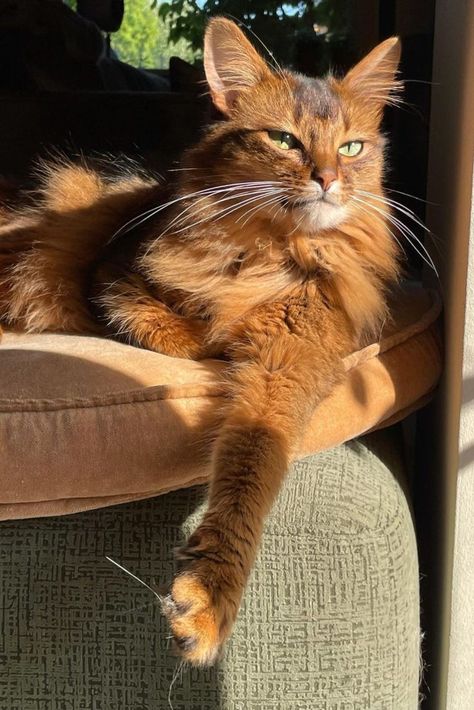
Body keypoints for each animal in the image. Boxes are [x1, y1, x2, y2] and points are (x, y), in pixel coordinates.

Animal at [0, 19, 400, 672]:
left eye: (351, 148)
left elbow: (254, 459)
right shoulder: (112, 279)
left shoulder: (293, 360)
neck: (272, 251)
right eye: (284, 140)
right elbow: (177, 336)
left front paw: (210, 598)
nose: (329, 179)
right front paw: (215, 340)